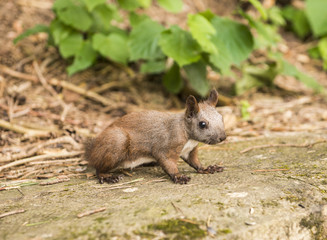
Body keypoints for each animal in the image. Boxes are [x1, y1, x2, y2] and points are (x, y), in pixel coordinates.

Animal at [84, 89, 227, 185]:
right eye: (202, 124)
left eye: (221, 117)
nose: (223, 137)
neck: (188, 135)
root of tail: (91, 151)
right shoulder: (166, 145)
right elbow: (167, 161)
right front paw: (178, 176)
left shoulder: (189, 150)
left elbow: (195, 162)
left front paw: (207, 168)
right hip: (117, 141)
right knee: (98, 168)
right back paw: (107, 176)